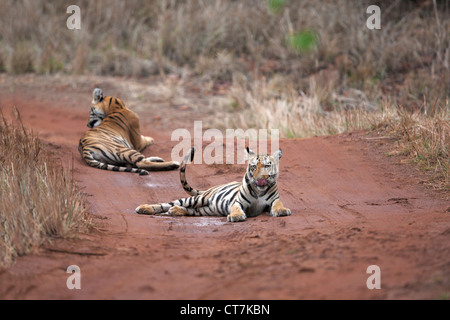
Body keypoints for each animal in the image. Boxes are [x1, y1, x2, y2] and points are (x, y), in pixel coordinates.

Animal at [135, 146, 292, 221]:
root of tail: (209, 189)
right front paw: (236, 216)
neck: (260, 190)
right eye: (253, 167)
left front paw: (282, 211)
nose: (259, 179)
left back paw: (175, 211)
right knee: (166, 204)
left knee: (189, 210)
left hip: (205, 209)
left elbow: (278, 204)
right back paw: (143, 208)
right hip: (196, 199)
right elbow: (236, 208)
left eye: (266, 166)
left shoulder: (274, 200)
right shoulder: (238, 202)